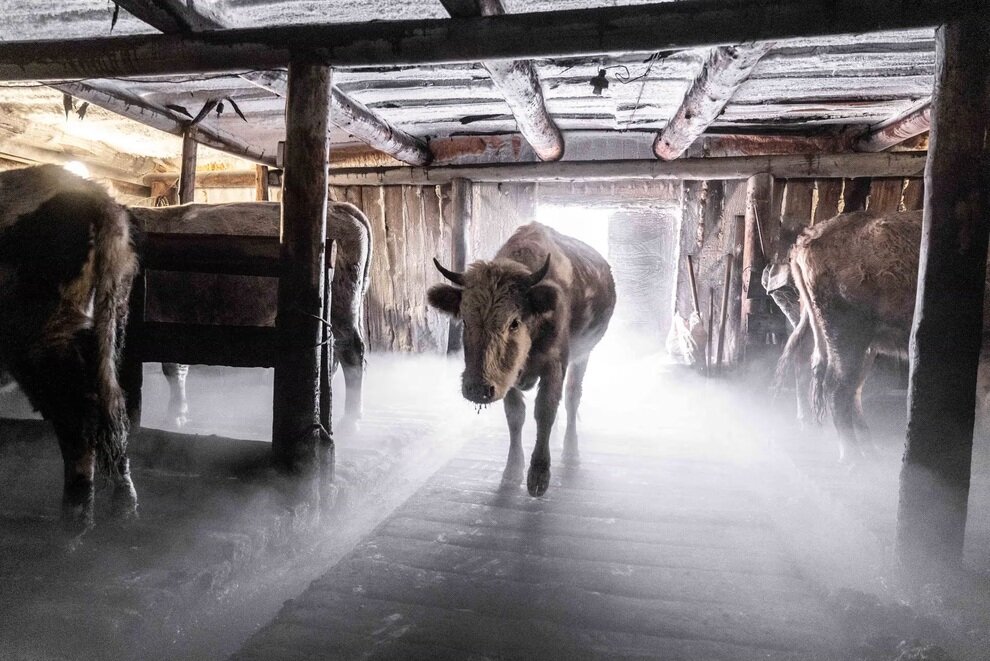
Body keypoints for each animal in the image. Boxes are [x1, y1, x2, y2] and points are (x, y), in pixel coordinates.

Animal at [0, 165, 140, 536]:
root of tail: (96, 196)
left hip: (42, 339)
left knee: (78, 421)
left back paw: (72, 529)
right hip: (109, 323)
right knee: (113, 410)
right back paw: (123, 510)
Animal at [130, 199, 374, 430]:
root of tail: (339, 207)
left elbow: (173, 367)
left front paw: (175, 415)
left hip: (343, 310)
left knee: (351, 352)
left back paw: (350, 420)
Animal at [430, 222, 616, 496]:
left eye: (514, 322)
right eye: (464, 320)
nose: (477, 389)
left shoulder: (554, 366)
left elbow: (545, 411)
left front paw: (539, 475)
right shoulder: (506, 378)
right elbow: (516, 417)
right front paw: (511, 472)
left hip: (583, 355)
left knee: (572, 398)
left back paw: (571, 453)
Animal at [776, 209, 990, 462]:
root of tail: (807, 238)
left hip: (860, 344)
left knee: (845, 386)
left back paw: (865, 449)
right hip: (848, 337)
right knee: (837, 388)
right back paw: (853, 457)